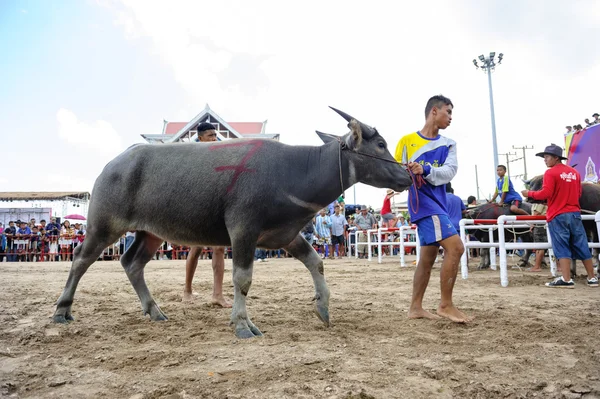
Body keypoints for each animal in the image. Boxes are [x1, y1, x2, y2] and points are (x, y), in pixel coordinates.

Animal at [51, 108, 414, 340]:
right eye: (381, 144)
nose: (407, 176)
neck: (292, 172)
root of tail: (111, 165)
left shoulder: (285, 235)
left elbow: (316, 262)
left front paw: (323, 308)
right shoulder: (243, 231)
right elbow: (242, 279)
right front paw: (242, 324)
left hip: (151, 232)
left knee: (131, 262)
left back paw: (154, 311)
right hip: (104, 225)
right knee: (81, 259)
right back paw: (61, 312)